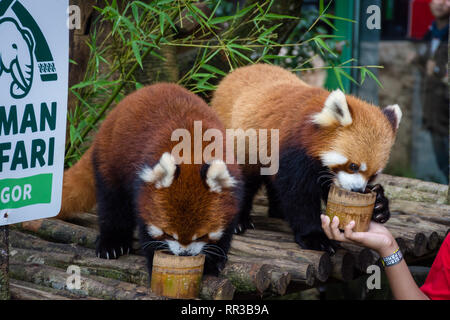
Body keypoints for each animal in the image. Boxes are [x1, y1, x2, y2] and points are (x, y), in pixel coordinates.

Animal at [59, 82, 244, 276]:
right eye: (168, 233)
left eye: (201, 235)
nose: (184, 254)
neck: (192, 152)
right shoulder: (143, 191)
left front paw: (213, 261)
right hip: (111, 162)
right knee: (112, 205)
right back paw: (112, 243)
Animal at [211, 63, 400, 252]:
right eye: (353, 166)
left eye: (374, 175)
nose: (357, 190)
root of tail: (237, 71)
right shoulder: (294, 152)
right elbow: (299, 195)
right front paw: (314, 236)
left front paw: (380, 206)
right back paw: (238, 221)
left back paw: (278, 211)